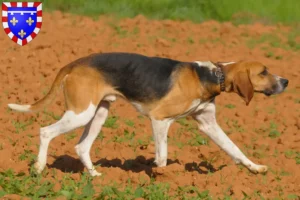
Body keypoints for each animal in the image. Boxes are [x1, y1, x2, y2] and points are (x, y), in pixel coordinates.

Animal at [7, 52, 288, 176]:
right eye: (263, 72)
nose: (285, 81)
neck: (211, 75)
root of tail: (75, 63)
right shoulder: (160, 119)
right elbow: (162, 156)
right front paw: (161, 177)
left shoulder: (209, 124)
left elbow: (235, 149)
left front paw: (255, 168)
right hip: (81, 113)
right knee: (45, 131)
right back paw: (39, 167)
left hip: (99, 113)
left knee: (81, 147)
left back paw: (95, 177)